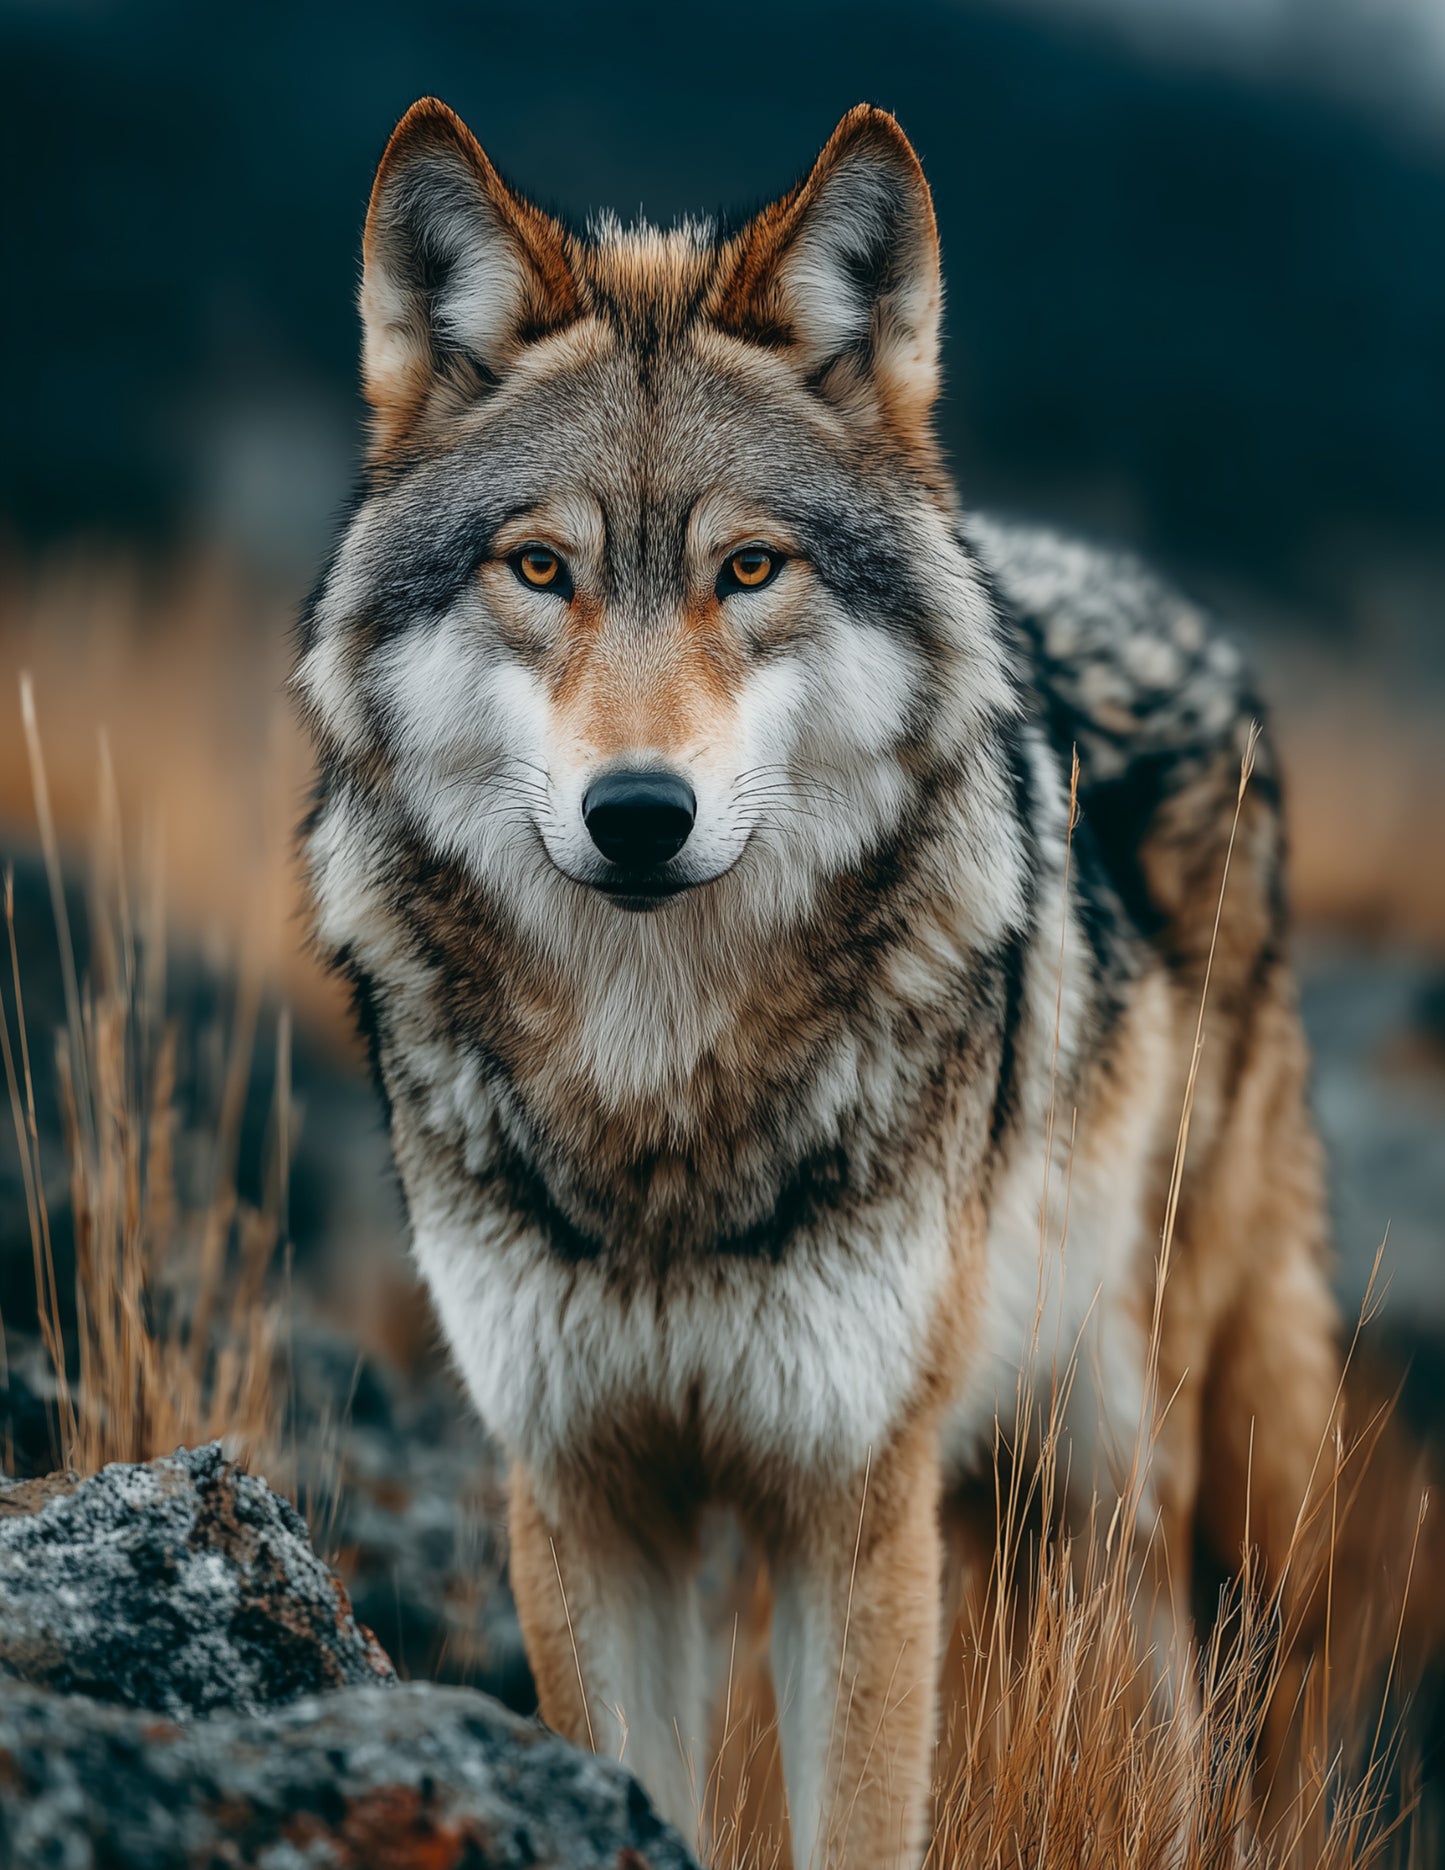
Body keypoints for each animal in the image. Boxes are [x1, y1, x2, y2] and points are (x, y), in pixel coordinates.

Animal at [295, 99, 1341, 1868]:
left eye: (751, 569)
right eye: (540, 569)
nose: (637, 812)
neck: (656, 1091)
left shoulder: (853, 1502)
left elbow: (857, 1815)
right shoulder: (589, 1493)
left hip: (1115, 1446)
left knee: (1173, 1699)